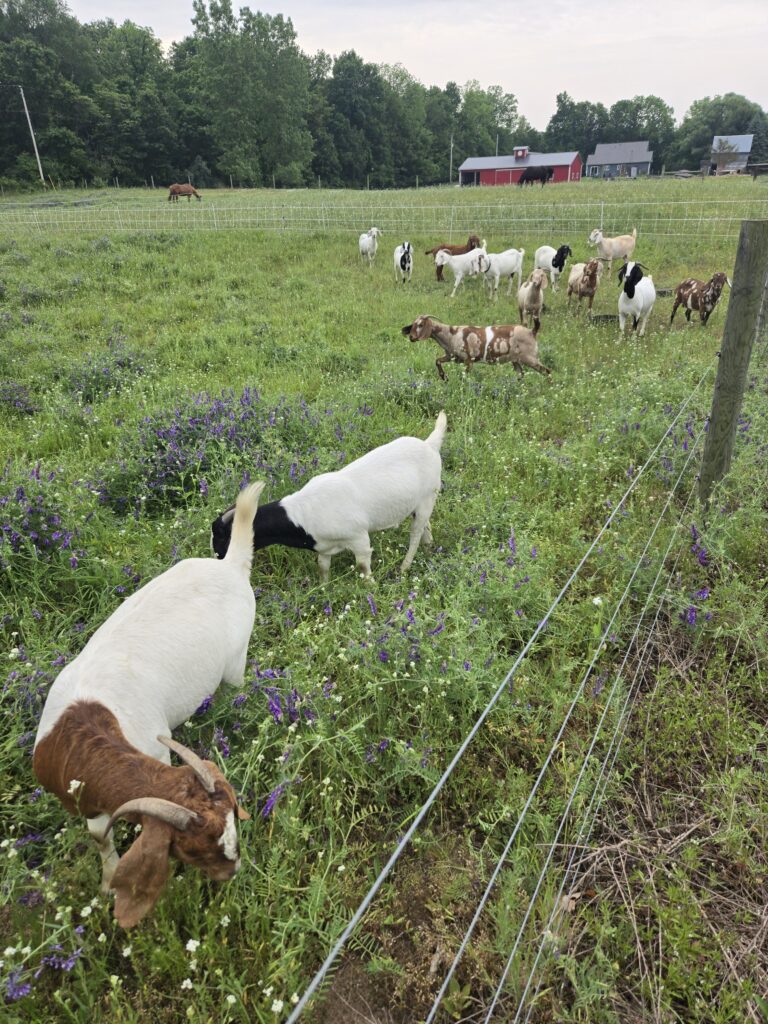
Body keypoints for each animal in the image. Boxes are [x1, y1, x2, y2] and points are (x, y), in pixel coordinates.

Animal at [32, 482, 263, 927]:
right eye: (193, 848)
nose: (235, 872)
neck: (81, 728)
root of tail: (230, 567)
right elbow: (97, 836)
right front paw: (107, 881)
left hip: (237, 661)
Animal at [211, 415, 447, 582]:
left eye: (223, 537)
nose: (219, 559)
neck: (302, 514)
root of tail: (430, 444)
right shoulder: (323, 547)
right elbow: (323, 568)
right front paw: (324, 588)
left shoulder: (359, 537)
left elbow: (363, 566)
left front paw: (370, 586)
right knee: (425, 527)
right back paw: (429, 549)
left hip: (428, 497)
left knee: (415, 534)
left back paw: (405, 566)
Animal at [402, 314, 551, 381]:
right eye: (413, 325)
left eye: (421, 325)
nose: (411, 337)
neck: (451, 334)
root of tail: (532, 331)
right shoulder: (452, 356)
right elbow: (437, 361)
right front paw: (444, 377)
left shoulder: (469, 359)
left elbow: (464, 375)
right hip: (516, 360)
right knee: (521, 374)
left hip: (530, 358)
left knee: (547, 371)